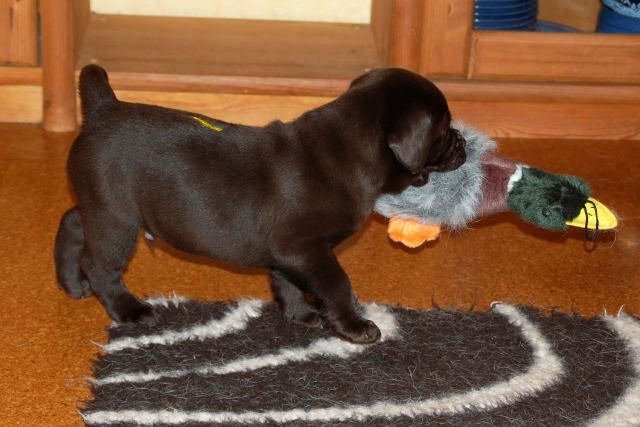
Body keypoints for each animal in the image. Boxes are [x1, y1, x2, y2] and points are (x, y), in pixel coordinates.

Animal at [54, 65, 466, 344]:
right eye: (442, 130)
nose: (463, 142)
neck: (350, 148)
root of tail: (101, 108)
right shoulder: (305, 249)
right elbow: (337, 284)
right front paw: (353, 325)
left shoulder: (290, 252)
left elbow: (286, 281)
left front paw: (299, 314)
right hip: (117, 219)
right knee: (100, 264)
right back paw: (129, 308)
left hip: (102, 206)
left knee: (73, 221)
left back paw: (70, 281)